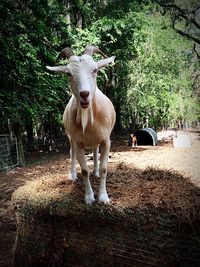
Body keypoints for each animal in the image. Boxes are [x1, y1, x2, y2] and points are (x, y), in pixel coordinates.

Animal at [46, 46, 115, 205]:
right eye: (68, 73)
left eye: (95, 70)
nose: (84, 94)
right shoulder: (77, 141)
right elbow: (84, 170)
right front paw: (89, 198)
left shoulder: (106, 140)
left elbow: (104, 168)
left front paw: (103, 197)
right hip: (70, 137)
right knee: (72, 154)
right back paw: (72, 175)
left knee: (95, 151)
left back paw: (95, 172)